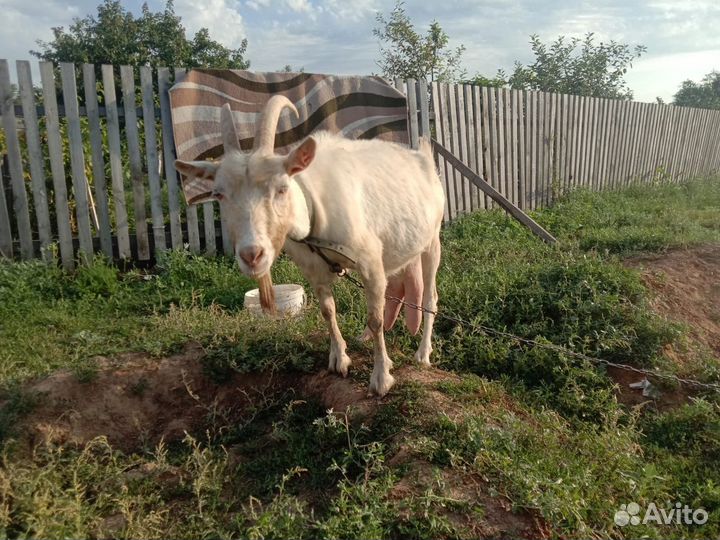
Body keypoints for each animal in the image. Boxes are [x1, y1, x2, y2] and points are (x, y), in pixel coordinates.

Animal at [175, 97, 445, 396]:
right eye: (219, 194)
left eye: (282, 188)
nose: (252, 255)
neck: (315, 211)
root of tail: (421, 156)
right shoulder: (313, 268)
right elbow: (328, 311)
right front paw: (339, 359)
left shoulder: (370, 261)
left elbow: (375, 318)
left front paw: (381, 378)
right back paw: (364, 336)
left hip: (432, 240)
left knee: (429, 297)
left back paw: (423, 354)